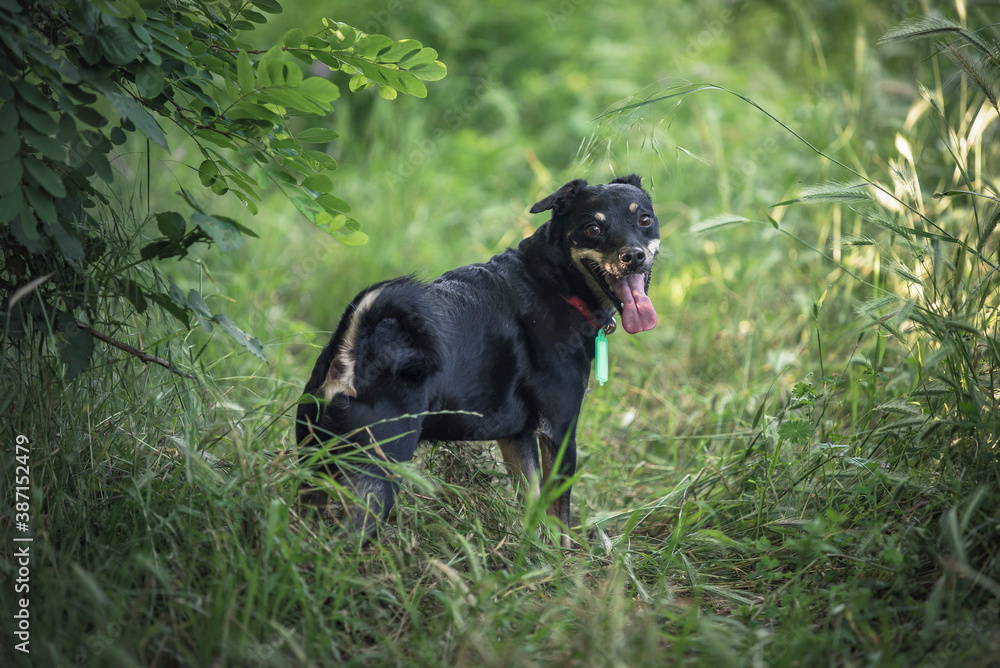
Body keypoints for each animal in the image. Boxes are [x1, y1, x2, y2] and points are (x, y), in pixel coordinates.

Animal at [292, 175, 660, 544]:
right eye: (592, 229)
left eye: (644, 220)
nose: (633, 256)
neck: (553, 281)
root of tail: (350, 358)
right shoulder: (559, 432)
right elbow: (560, 519)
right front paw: (564, 557)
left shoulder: (517, 437)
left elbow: (532, 504)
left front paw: (533, 552)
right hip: (377, 476)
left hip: (316, 469)